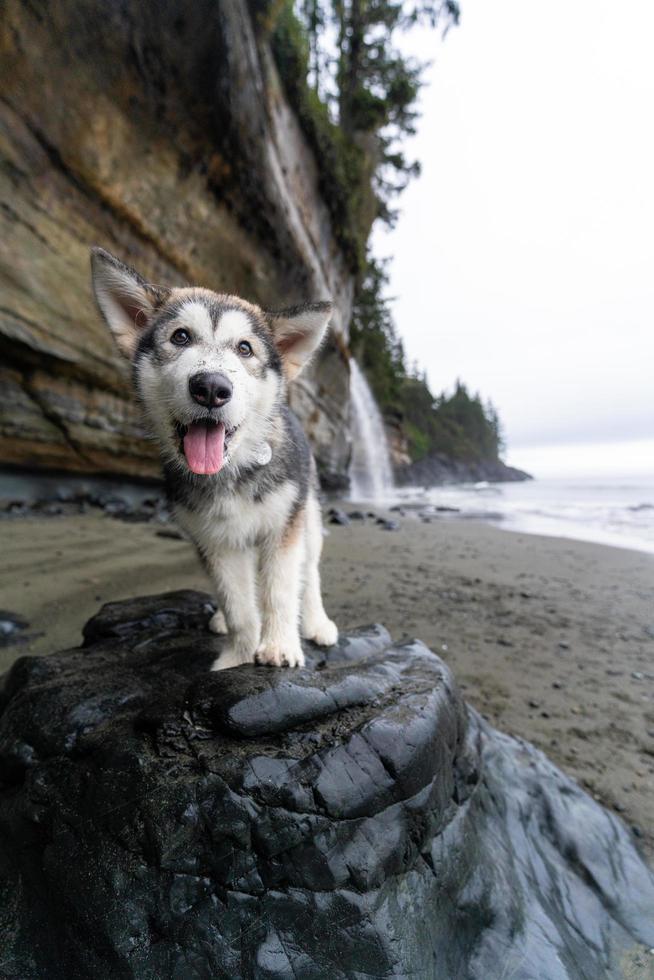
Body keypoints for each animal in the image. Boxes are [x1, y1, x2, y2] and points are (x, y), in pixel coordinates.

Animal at [91, 249, 338, 668]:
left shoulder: (282, 526)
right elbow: (238, 605)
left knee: (311, 572)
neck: (232, 472)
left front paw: (279, 645)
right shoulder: (214, 540)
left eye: (245, 348)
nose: (210, 387)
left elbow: (281, 590)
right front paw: (236, 658)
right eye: (180, 336)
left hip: (309, 512)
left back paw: (317, 622)